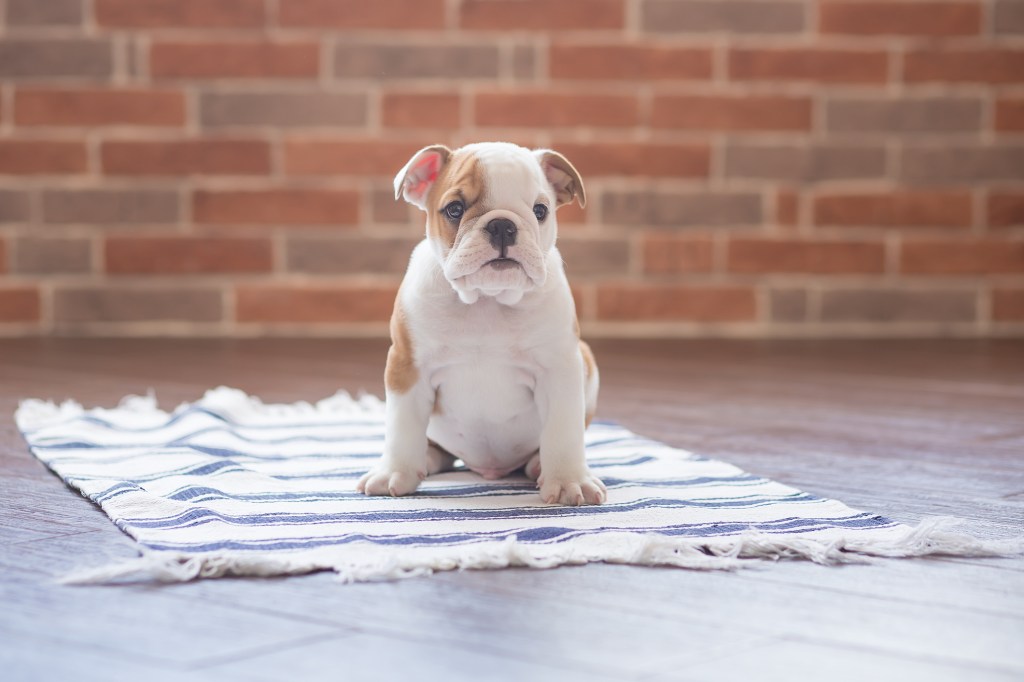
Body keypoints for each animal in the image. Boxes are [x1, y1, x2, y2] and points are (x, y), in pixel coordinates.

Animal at [356, 140, 602, 503]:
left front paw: (569, 481)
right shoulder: (407, 367)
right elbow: (401, 427)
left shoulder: (561, 368)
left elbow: (563, 431)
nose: (502, 225)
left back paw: (538, 466)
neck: (488, 299)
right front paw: (393, 473)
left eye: (540, 210)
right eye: (454, 209)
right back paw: (426, 459)